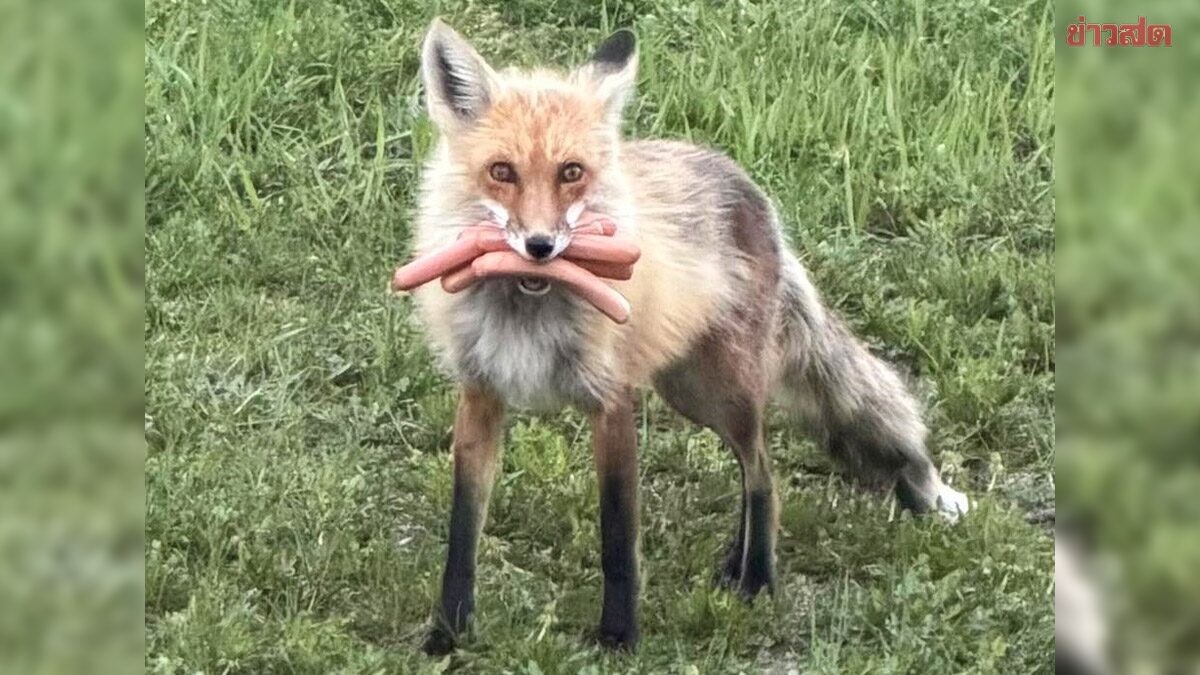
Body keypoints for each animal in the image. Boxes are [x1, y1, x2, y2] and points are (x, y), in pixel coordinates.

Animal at [407, 20, 970, 654]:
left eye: (571, 172)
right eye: (502, 172)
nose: (541, 246)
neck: (529, 306)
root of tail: (752, 189)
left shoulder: (612, 401)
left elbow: (618, 535)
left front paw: (619, 639)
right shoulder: (480, 395)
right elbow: (462, 534)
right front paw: (447, 635)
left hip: (722, 390)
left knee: (763, 474)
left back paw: (757, 580)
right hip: (688, 388)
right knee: (755, 470)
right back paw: (733, 564)